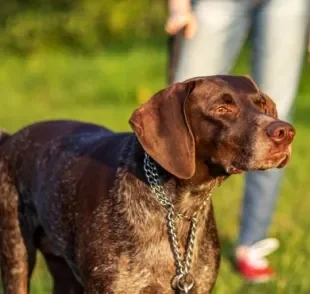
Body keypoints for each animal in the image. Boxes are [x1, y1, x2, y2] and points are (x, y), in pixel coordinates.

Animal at [0, 74, 296, 292]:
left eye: (261, 105)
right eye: (222, 108)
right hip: (17, 258)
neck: (178, 206)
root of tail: (11, 138)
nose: (285, 131)